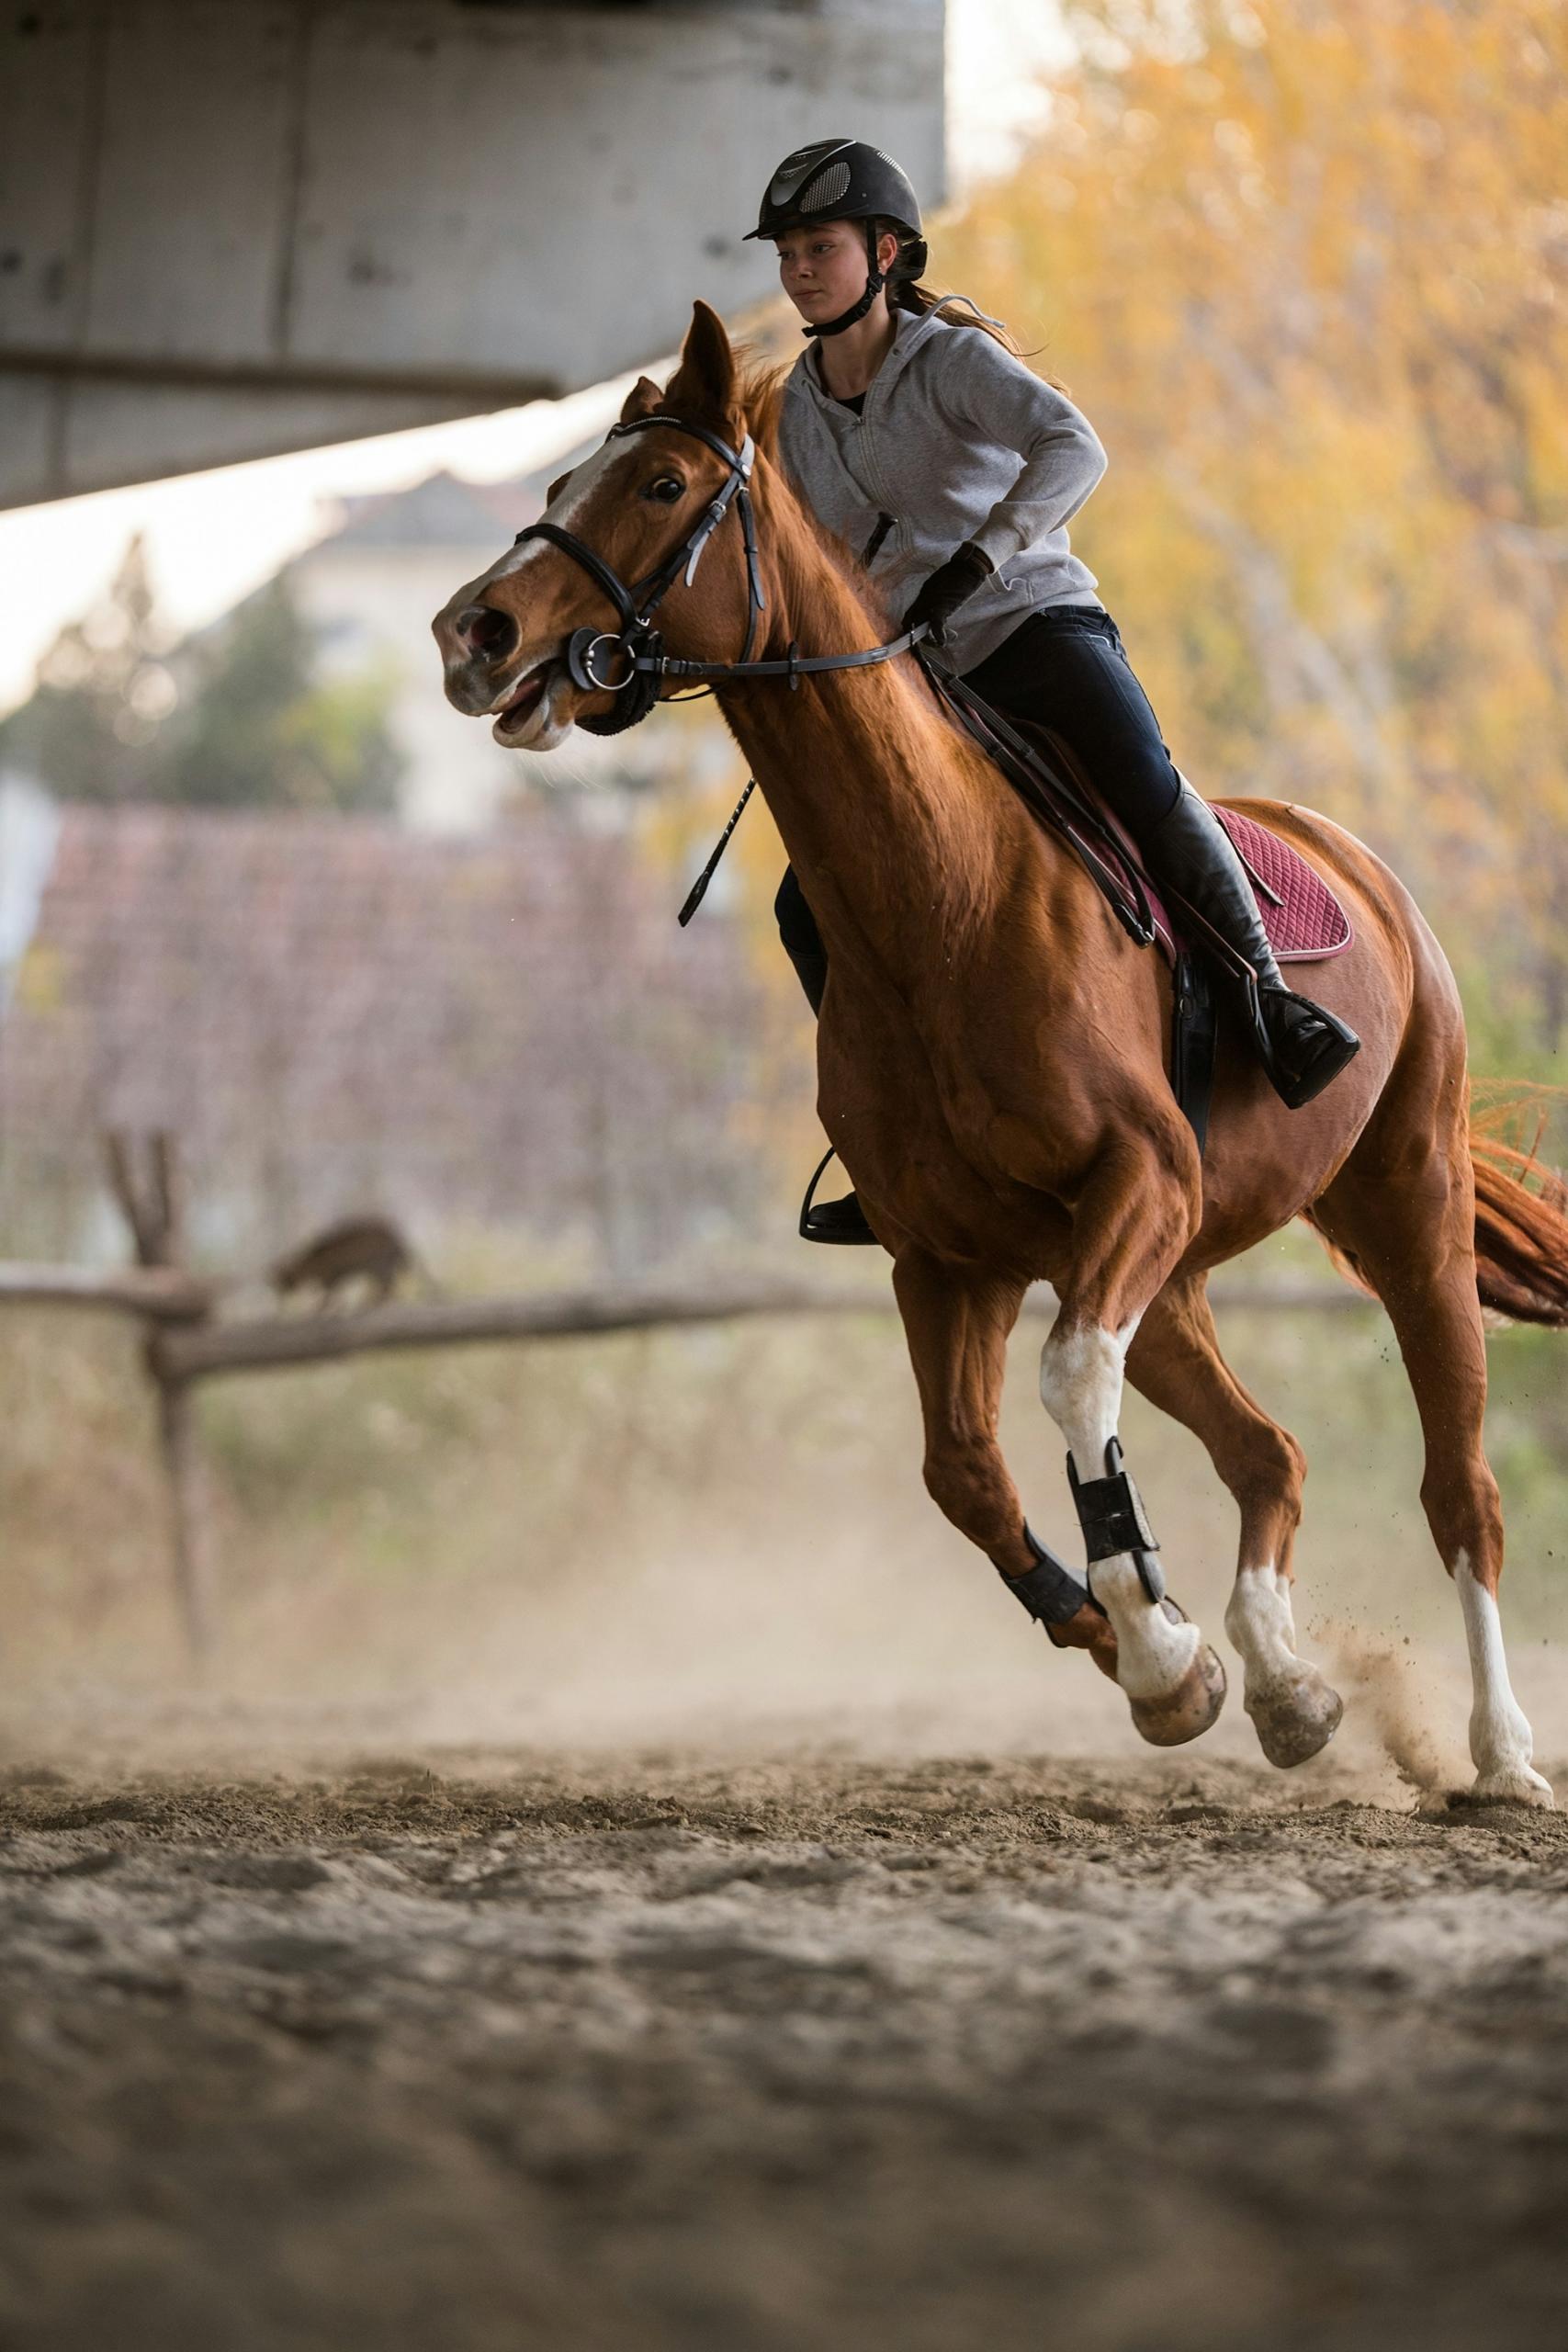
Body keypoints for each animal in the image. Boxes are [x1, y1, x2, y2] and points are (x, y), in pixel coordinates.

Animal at [434, 300, 1568, 1804]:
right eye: (560, 484)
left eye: (661, 485)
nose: (471, 629)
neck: (943, 901)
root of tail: (1355, 861)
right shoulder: (947, 1256)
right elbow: (964, 1471)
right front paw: (1151, 1653)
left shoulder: (1136, 1185)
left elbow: (1064, 1386)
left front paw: (1155, 1634)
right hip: (1176, 1276)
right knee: (1266, 1455)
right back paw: (1287, 1685)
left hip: (1403, 1210)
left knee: (1459, 1488)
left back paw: (1500, 1754)